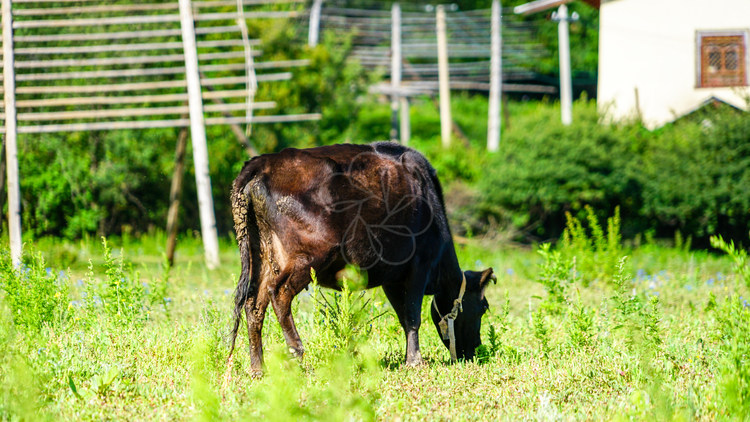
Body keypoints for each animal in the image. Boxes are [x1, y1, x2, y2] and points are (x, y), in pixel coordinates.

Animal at [229, 143, 496, 376]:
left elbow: (404, 317)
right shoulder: (419, 265)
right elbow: (413, 316)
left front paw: (409, 357)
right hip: (308, 257)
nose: (475, 351)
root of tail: (263, 162)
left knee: (253, 303)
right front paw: (415, 361)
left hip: (263, 254)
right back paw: (297, 350)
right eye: (484, 307)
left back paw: (258, 368)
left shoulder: (391, 278)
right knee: (279, 293)